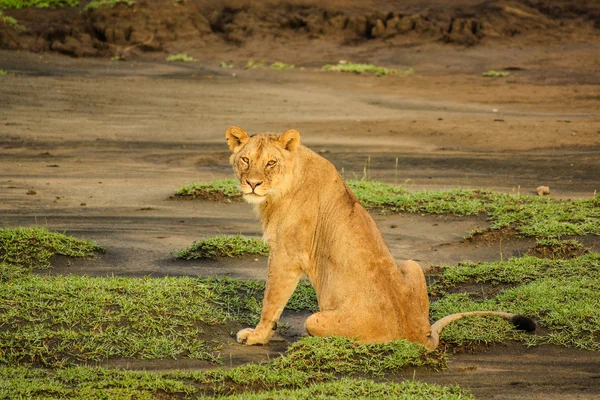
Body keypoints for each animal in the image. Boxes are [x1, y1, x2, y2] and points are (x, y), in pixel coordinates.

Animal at [225, 126, 536, 348]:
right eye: (245, 159)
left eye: (271, 163)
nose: (252, 184)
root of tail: (419, 335)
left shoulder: (286, 254)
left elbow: (271, 301)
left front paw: (256, 336)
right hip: (411, 263)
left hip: (316, 320)